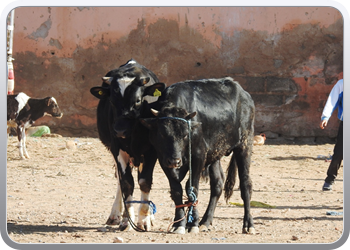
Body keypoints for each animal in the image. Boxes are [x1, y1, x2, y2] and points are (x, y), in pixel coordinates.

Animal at [89, 58, 165, 230]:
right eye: (111, 101)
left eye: (137, 101)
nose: (120, 129)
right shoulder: (117, 149)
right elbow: (126, 183)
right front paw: (126, 220)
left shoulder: (151, 151)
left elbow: (145, 182)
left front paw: (144, 219)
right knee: (119, 179)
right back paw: (116, 214)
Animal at [141, 76, 256, 234]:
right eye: (162, 134)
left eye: (185, 134)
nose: (175, 161)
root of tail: (244, 94)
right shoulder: (163, 158)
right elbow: (176, 190)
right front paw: (179, 223)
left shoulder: (198, 156)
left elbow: (192, 188)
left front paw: (192, 223)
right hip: (215, 153)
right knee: (218, 183)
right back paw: (205, 221)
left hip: (244, 144)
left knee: (245, 184)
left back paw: (248, 224)